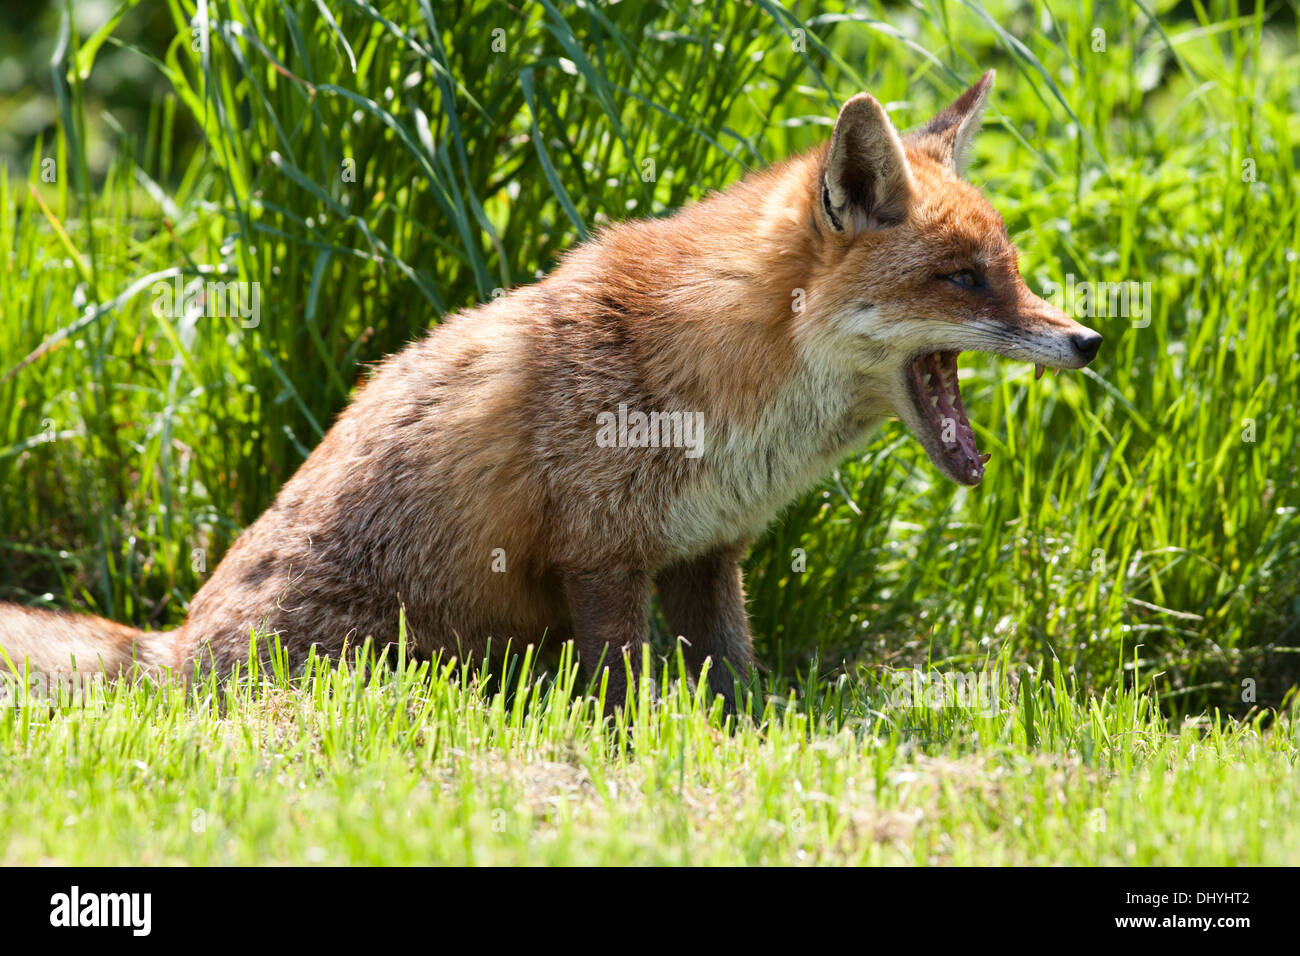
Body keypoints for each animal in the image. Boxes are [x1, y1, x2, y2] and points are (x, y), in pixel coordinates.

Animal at [1, 71, 1101, 710]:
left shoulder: (706, 553)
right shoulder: (600, 553)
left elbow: (736, 683)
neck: (728, 393)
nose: (1088, 340)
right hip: (393, 661)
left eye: (1011, 271)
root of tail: (176, 654)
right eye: (965, 280)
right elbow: (624, 692)